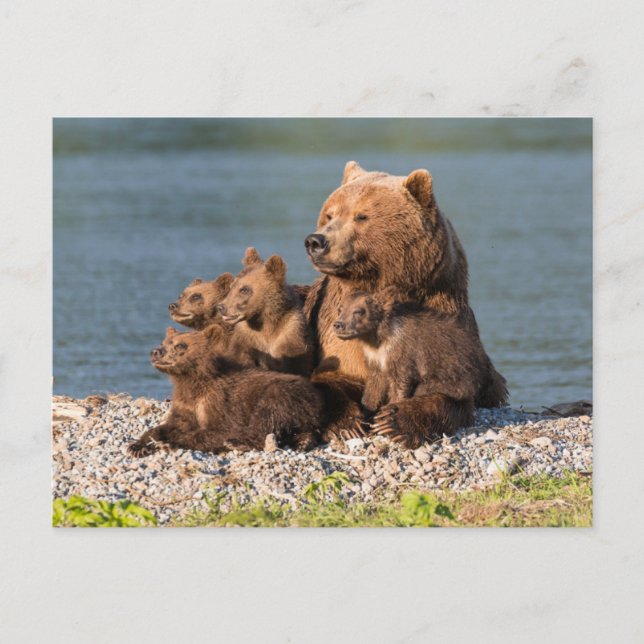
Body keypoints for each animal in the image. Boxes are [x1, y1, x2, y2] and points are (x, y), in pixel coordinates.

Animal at [128, 325, 323, 457]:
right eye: (164, 342)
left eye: (181, 345)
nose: (156, 352)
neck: (192, 380)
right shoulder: (185, 403)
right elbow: (171, 424)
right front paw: (138, 445)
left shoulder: (221, 402)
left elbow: (220, 429)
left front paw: (169, 442)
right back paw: (302, 441)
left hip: (283, 394)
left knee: (267, 418)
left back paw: (236, 443)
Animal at [216, 247, 314, 377]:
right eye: (232, 286)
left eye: (244, 289)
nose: (221, 307)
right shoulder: (246, 338)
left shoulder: (291, 334)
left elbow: (297, 363)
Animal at [333, 288, 493, 446]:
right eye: (341, 308)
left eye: (359, 311)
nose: (338, 324)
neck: (378, 338)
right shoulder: (375, 359)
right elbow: (374, 386)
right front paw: (365, 414)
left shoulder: (404, 353)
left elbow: (400, 383)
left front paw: (385, 415)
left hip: (455, 378)